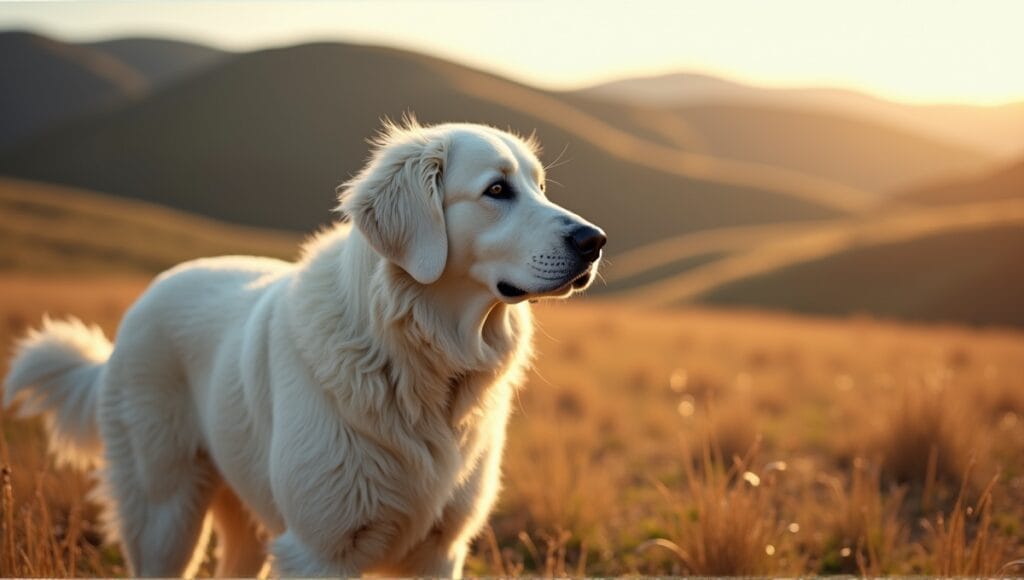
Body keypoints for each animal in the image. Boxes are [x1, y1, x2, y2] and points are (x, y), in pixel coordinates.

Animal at [4, 120, 602, 577]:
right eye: (497, 190)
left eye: (540, 187)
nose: (594, 241)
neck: (409, 353)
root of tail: (144, 299)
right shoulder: (318, 549)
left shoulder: (439, 549)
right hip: (164, 517)